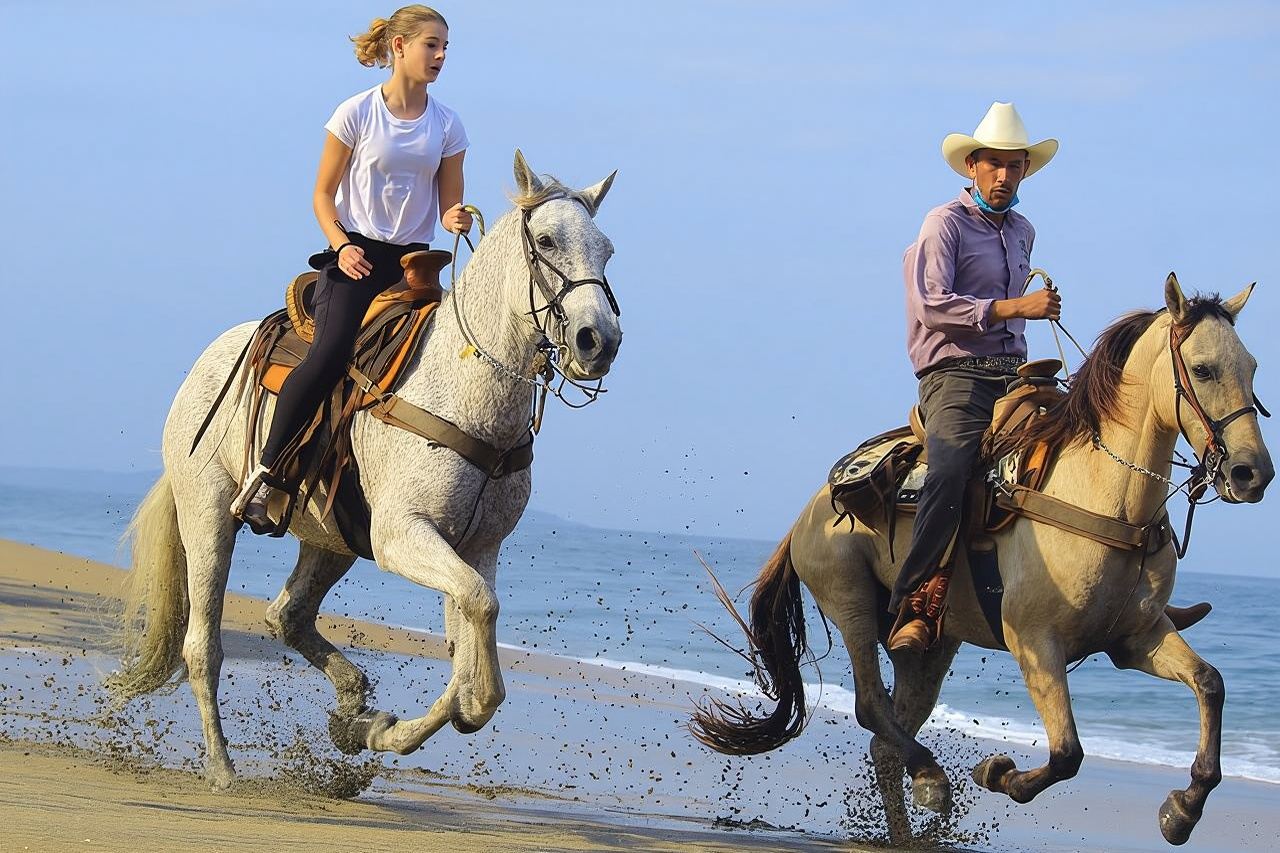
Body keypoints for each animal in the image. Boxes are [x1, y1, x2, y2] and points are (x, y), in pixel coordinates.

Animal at [107, 151, 622, 790]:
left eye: (606, 250)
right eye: (547, 240)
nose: (599, 341)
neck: (465, 389)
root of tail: (203, 365)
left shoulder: (476, 548)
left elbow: (474, 676)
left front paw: (369, 729)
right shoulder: (403, 534)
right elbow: (479, 625)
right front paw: (380, 729)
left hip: (332, 538)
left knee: (287, 615)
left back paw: (352, 701)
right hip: (208, 516)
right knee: (203, 647)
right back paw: (223, 767)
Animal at [691, 275, 1272, 846]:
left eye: (1252, 368)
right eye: (1203, 368)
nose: (1252, 474)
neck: (1105, 496)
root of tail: (806, 514)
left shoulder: (1136, 638)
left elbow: (1210, 683)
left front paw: (1182, 810)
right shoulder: (1034, 641)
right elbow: (1068, 753)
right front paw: (998, 772)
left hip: (930, 645)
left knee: (887, 738)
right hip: (849, 600)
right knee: (869, 705)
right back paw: (931, 778)